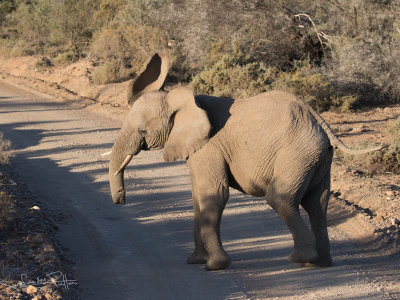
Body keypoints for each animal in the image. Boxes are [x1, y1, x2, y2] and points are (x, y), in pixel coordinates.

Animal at [109, 52, 382, 270]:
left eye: (142, 131)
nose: (120, 200)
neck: (181, 100)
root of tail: (320, 122)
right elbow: (198, 197)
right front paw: (195, 261)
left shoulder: (209, 147)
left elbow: (214, 194)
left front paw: (215, 266)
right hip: (317, 158)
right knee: (317, 202)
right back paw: (320, 262)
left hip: (296, 154)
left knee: (281, 198)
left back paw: (301, 259)